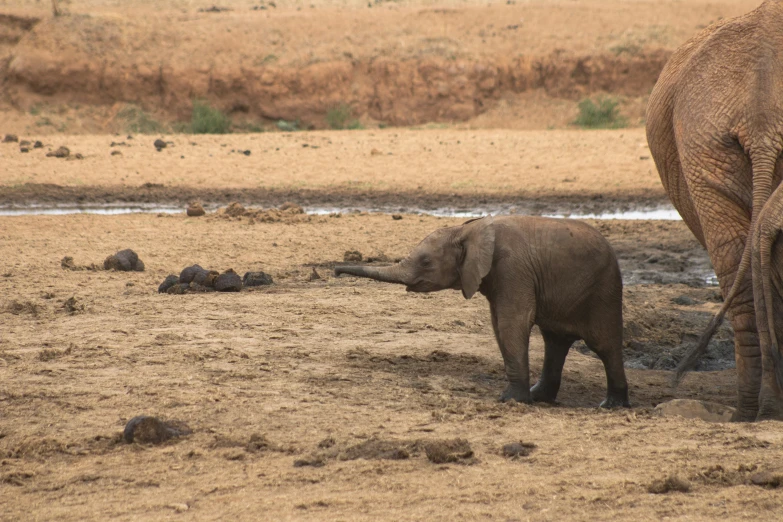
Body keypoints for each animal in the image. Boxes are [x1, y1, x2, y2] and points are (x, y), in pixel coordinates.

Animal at [336, 215, 632, 406]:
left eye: (426, 262)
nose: (336, 271)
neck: (466, 230)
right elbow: (498, 324)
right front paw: (517, 398)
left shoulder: (513, 267)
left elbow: (512, 323)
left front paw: (511, 401)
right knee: (555, 343)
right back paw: (540, 397)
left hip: (604, 290)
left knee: (604, 344)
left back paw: (612, 405)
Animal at [644, 0, 783, 418]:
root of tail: (761, 116)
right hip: (704, 138)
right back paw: (759, 408)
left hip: (702, 140)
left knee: (734, 256)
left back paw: (755, 409)